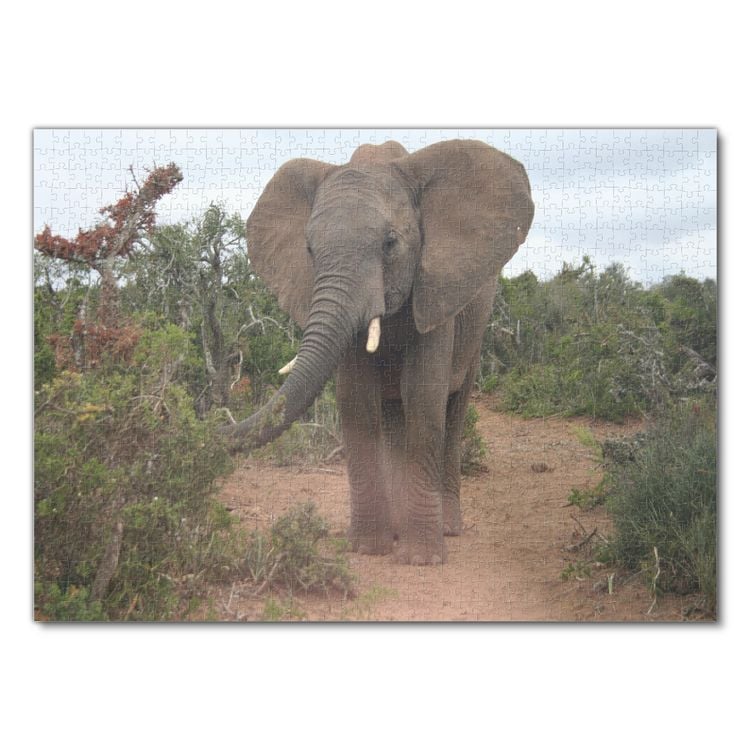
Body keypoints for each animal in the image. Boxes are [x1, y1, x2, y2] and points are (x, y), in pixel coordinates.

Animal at [224, 139, 534, 565]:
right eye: (309, 249)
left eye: (390, 243)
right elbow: (356, 399)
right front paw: (369, 549)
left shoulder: (436, 290)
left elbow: (423, 396)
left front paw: (422, 559)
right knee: (392, 415)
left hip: (477, 326)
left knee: (454, 410)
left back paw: (448, 529)